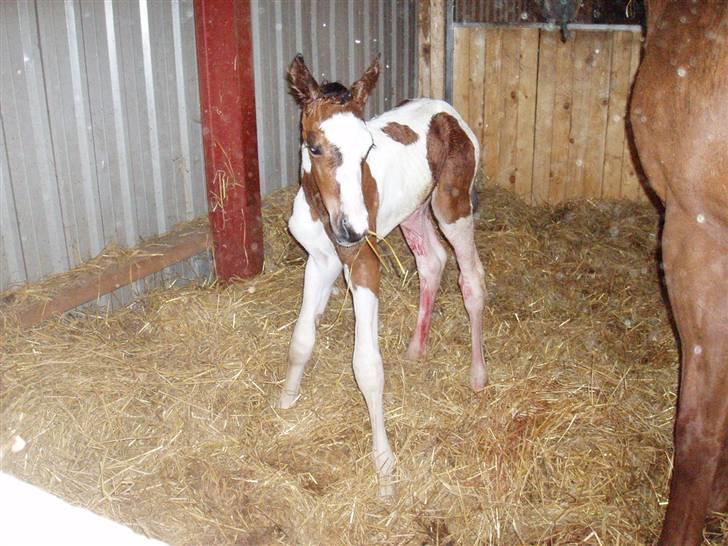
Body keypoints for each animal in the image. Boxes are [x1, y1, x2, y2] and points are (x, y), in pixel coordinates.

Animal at [278, 55, 490, 492]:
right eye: (315, 147)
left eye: (368, 148)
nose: (354, 230)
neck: (325, 213)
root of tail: (448, 111)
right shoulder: (319, 261)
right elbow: (302, 338)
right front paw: (287, 399)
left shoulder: (363, 265)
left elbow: (367, 367)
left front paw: (384, 464)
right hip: (413, 211)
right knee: (431, 262)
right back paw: (415, 350)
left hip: (452, 206)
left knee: (471, 279)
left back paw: (477, 375)